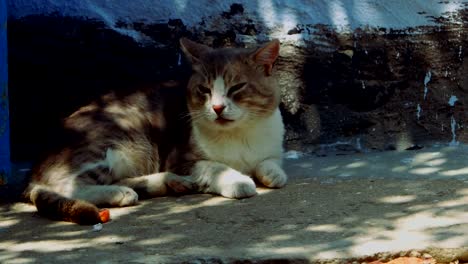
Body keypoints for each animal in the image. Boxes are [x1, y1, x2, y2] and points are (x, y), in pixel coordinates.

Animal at [23, 38, 288, 225]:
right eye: (204, 90)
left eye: (237, 87)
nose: (217, 107)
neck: (239, 134)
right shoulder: (181, 159)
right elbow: (216, 166)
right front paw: (239, 181)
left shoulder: (272, 147)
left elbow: (270, 161)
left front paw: (273, 173)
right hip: (115, 140)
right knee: (67, 187)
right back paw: (121, 192)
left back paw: (171, 184)